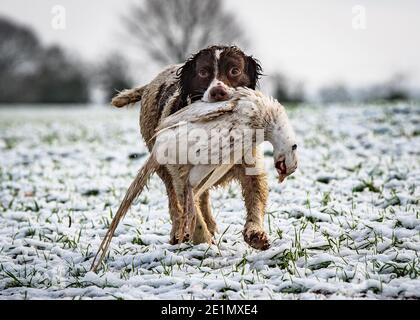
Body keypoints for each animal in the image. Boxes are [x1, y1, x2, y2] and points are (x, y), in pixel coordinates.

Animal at [111, 45, 270, 250]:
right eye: (203, 72)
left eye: (234, 70)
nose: (218, 92)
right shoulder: (180, 175)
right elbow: (191, 212)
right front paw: (205, 244)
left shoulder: (250, 166)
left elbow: (255, 199)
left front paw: (255, 233)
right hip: (163, 168)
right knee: (174, 202)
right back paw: (178, 233)